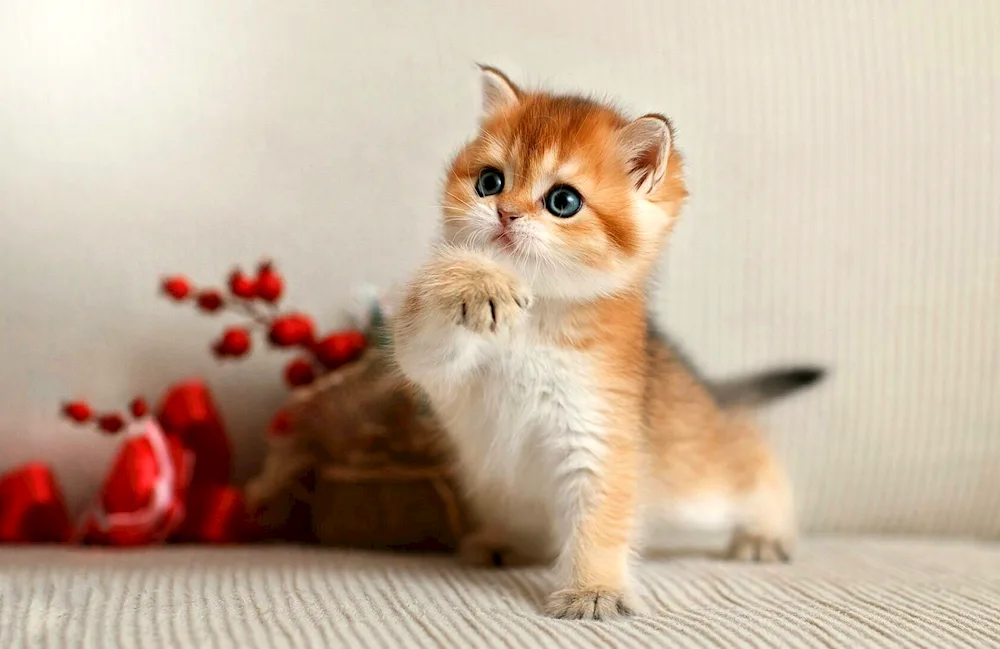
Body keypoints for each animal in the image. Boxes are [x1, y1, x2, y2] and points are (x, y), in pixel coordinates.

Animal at [394, 68, 824, 620]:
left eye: (563, 201)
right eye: (490, 182)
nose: (505, 214)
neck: (537, 318)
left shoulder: (599, 430)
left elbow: (599, 519)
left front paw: (592, 590)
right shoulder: (438, 367)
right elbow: (424, 330)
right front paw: (476, 280)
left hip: (696, 486)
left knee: (752, 456)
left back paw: (765, 532)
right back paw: (505, 542)